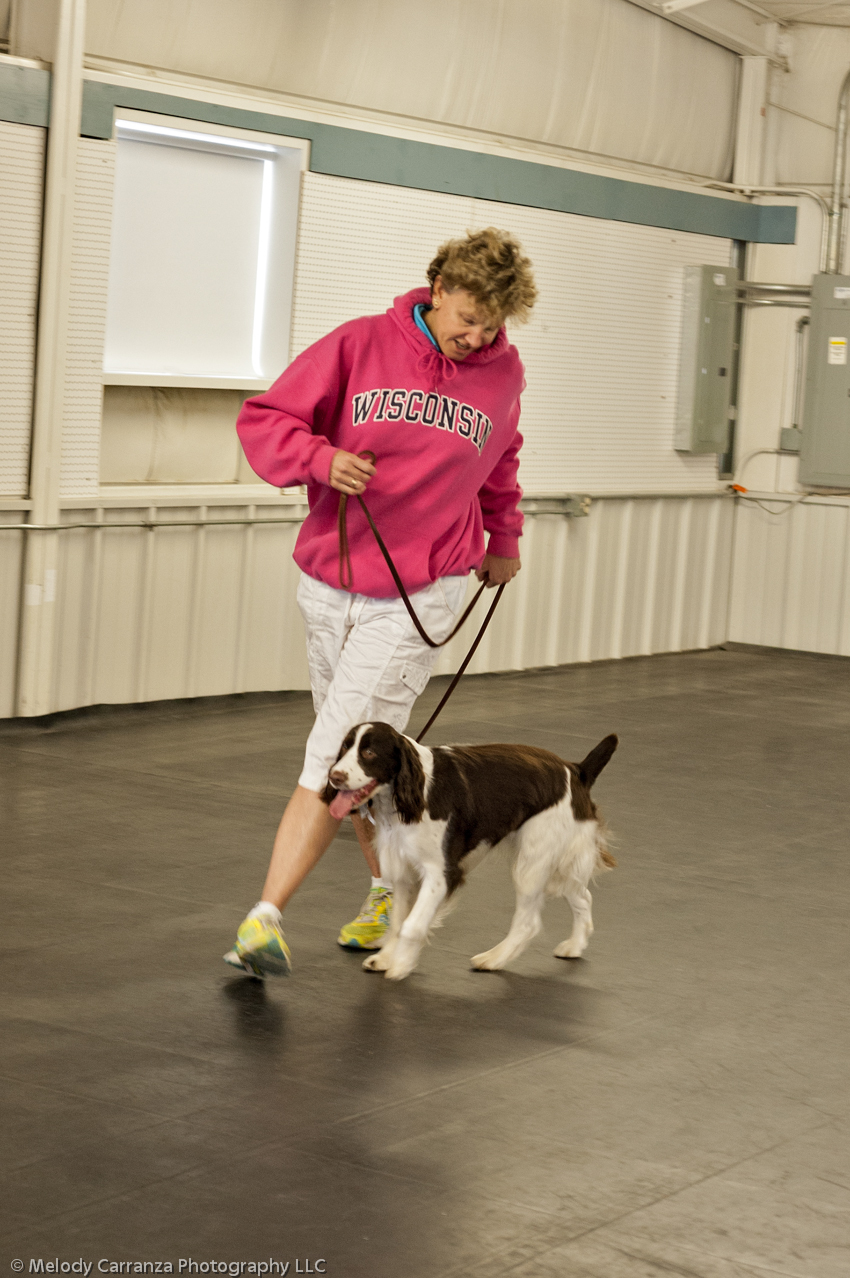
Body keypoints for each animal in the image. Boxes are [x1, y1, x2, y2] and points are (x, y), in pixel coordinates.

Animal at [322, 725, 613, 981]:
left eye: (369, 752)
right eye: (345, 747)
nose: (334, 777)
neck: (414, 793)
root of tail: (576, 770)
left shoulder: (441, 874)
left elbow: (411, 925)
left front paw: (401, 965)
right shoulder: (403, 871)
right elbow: (397, 921)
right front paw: (385, 958)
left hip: (533, 860)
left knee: (528, 922)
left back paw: (492, 959)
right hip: (557, 861)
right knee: (582, 896)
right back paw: (574, 945)